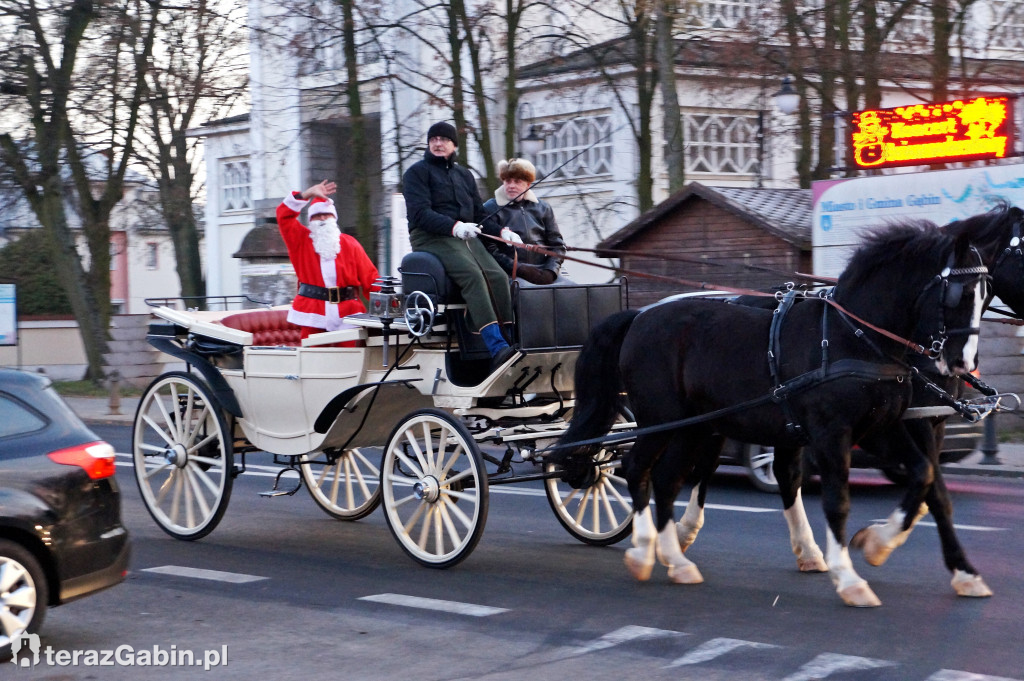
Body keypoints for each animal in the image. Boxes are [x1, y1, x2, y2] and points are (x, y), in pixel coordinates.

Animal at [557, 223, 987, 606]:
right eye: (958, 294)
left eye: (985, 295)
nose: (962, 364)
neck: (855, 338)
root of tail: (640, 316)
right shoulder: (832, 434)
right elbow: (838, 501)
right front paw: (849, 578)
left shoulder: (885, 428)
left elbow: (924, 475)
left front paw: (878, 544)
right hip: (660, 420)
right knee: (636, 469)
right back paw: (645, 550)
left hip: (694, 428)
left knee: (665, 478)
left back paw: (677, 560)